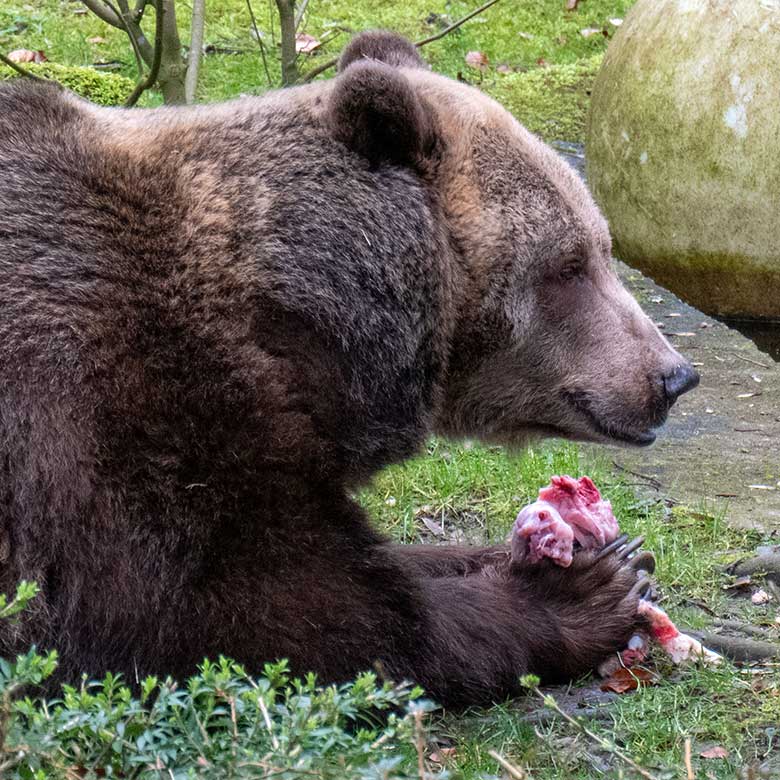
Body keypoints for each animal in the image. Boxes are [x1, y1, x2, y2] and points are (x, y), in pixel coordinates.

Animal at [0, 32, 696, 708]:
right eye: (569, 265)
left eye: (605, 248)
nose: (672, 376)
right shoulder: (113, 409)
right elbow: (267, 609)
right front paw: (587, 587)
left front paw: (576, 555)